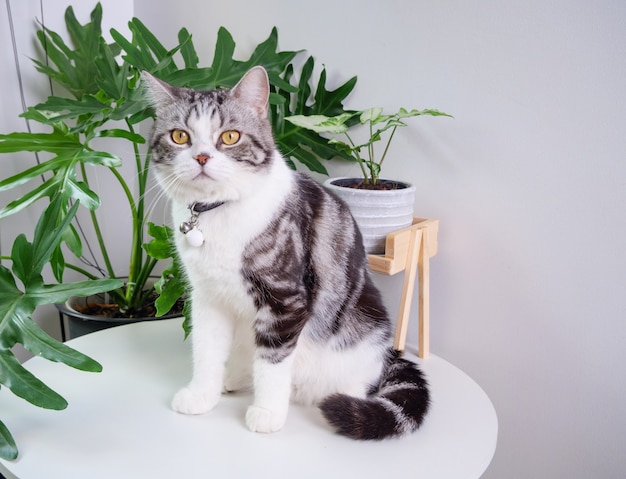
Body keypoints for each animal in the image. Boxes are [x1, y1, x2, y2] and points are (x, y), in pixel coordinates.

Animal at [140, 67, 428, 442]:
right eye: (179, 136)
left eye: (230, 136)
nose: (202, 157)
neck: (217, 214)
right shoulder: (206, 297)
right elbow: (205, 350)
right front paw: (202, 394)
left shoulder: (286, 301)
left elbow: (272, 363)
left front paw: (267, 413)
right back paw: (232, 378)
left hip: (365, 329)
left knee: (356, 379)